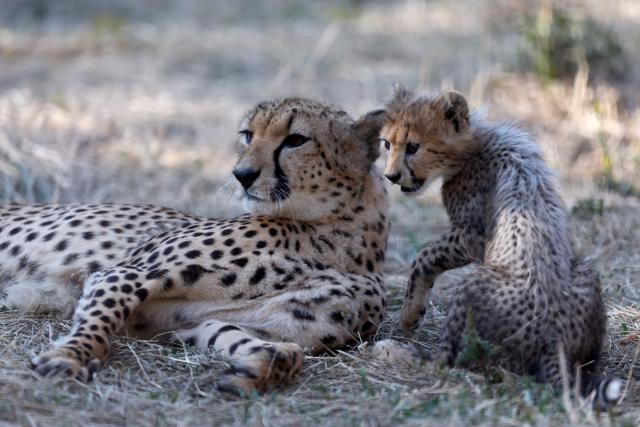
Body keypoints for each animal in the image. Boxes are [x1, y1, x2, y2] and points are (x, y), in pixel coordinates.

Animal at [1, 97, 390, 394]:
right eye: (248, 135)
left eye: (295, 140)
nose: (241, 175)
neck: (336, 237)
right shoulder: (127, 274)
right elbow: (101, 320)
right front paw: (71, 355)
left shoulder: (199, 322)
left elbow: (285, 352)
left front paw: (253, 372)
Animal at [376, 86, 621, 408]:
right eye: (386, 144)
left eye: (413, 147)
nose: (391, 176)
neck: (473, 146)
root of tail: (554, 336)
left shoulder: (471, 237)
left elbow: (424, 256)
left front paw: (410, 313)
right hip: (585, 271)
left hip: (470, 288)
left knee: (444, 360)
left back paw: (392, 350)